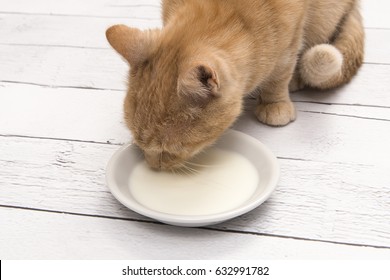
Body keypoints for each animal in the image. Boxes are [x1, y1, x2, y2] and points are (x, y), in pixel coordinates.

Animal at [105, 0, 364, 170]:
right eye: (139, 142)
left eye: (169, 150)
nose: (152, 166)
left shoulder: (291, 36)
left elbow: (279, 74)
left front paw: (275, 102)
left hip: (323, 15)